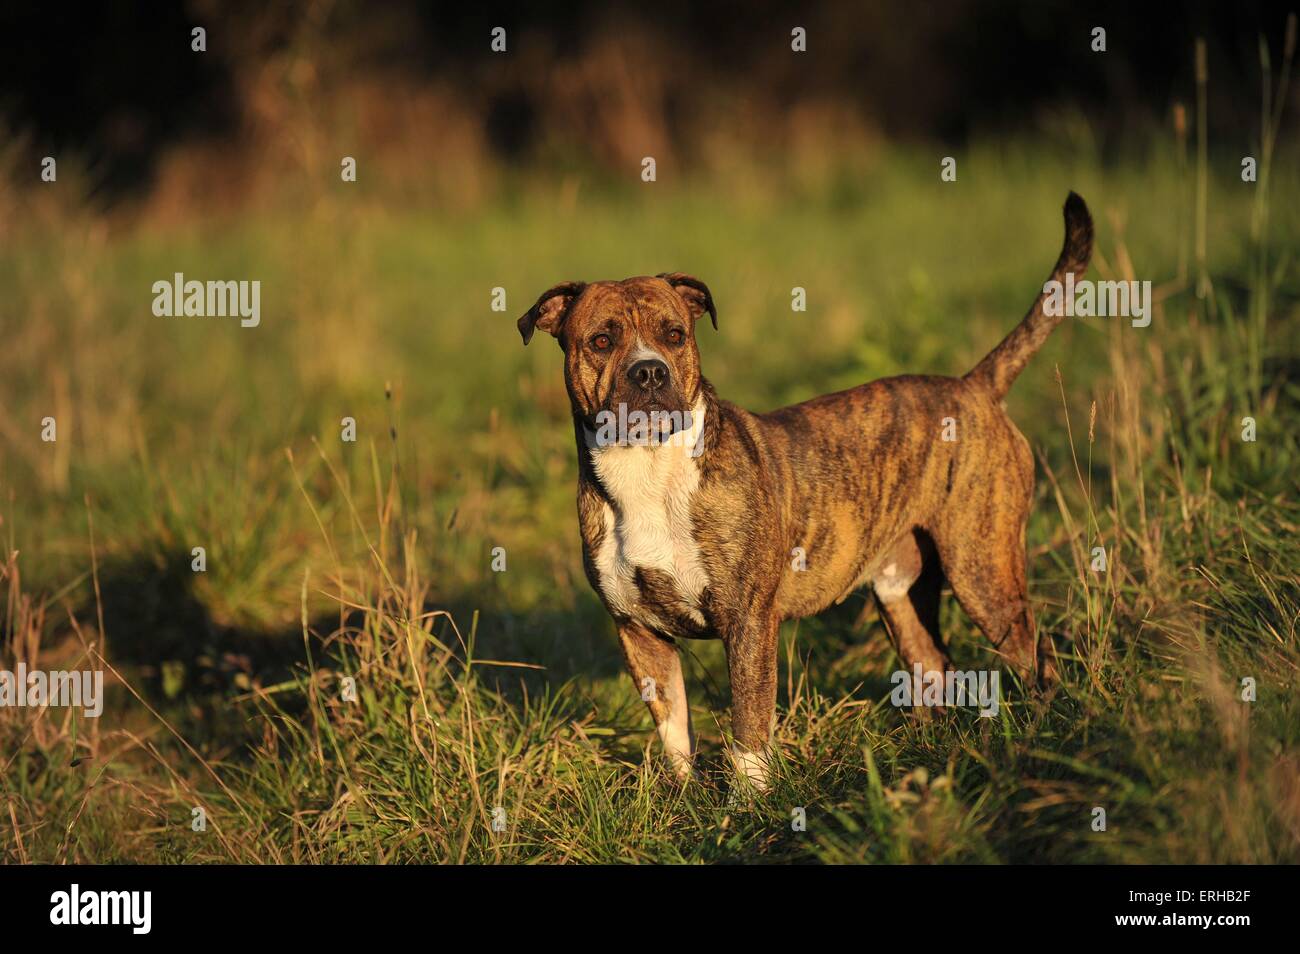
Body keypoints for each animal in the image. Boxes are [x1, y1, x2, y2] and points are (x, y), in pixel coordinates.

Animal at [522, 191, 1092, 790]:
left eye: (675, 335)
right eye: (601, 341)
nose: (649, 372)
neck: (649, 470)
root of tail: (975, 386)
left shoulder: (748, 623)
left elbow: (749, 729)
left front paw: (748, 803)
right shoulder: (639, 632)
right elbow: (674, 728)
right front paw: (683, 795)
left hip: (983, 572)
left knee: (1036, 658)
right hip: (902, 592)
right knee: (933, 666)